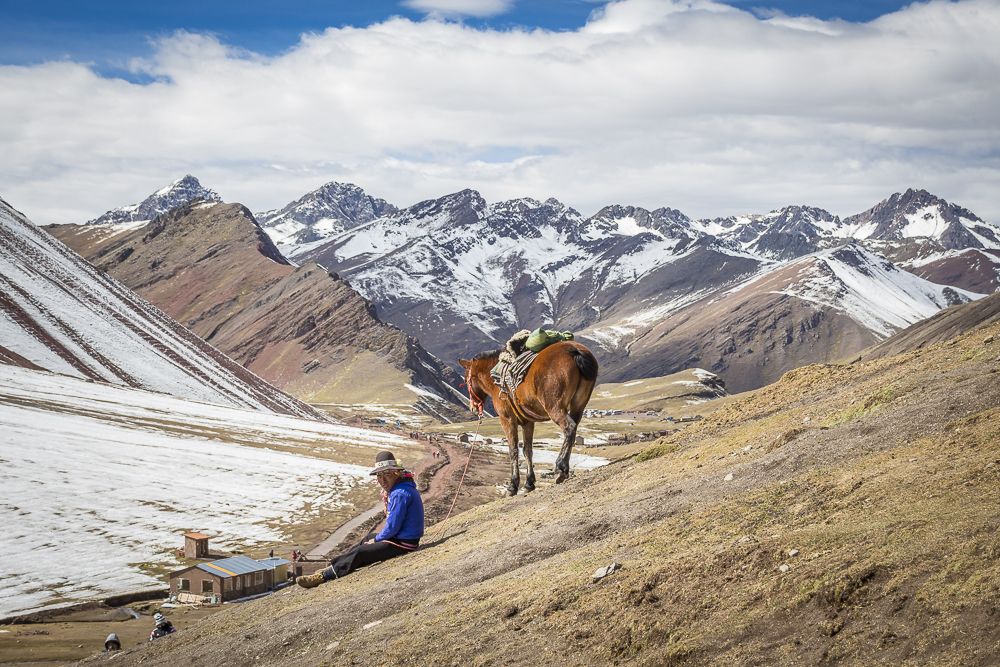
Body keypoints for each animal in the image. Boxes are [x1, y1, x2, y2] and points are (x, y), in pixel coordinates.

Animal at [459, 341, 598, 496]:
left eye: (466, 379)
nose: (473, 407)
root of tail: (574, 350)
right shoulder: (527, 422)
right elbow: (527, 450)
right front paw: (529, 483)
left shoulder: (507, 419)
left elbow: (513, 450)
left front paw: (513, 485)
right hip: (578, 406)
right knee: (573, 431)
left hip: (555, 408)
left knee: (569, 428)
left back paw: (560, 468)